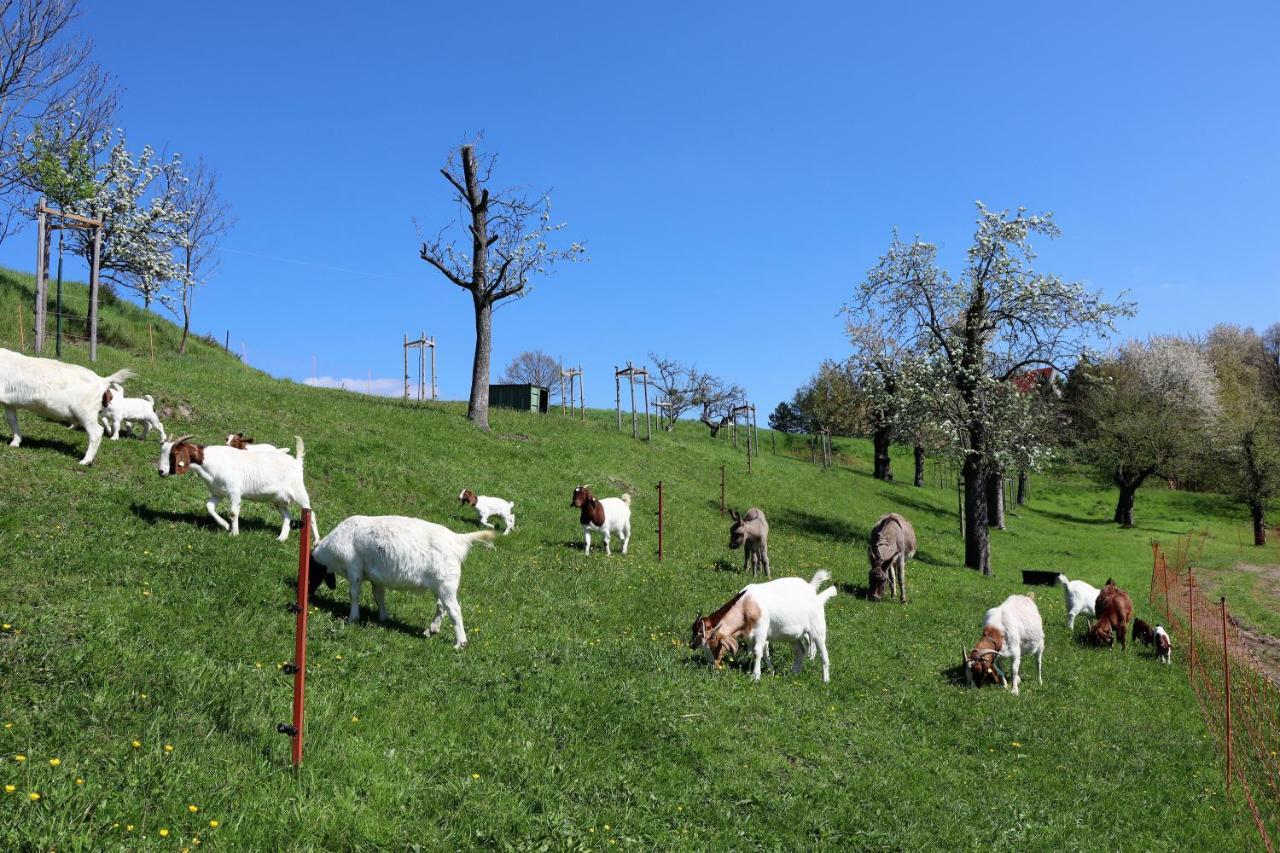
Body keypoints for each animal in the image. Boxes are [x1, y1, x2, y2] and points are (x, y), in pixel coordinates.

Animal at [0, 348, 132, 466]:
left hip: (85, 412)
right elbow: (12, 421)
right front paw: (15, 443)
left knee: (96, 432)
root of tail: (102, 380)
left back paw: (85, 461)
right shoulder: (9, 403)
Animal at [156, 432, 317, 537]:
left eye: (173, 454)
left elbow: (233, 513)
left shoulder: (234, 491)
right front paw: (225, 525)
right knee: (287, 516)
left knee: (311, 514)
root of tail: (296, 461)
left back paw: (316, 542)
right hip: (278, 500)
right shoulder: (218, 492)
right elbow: (209, 507)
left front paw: (234, 533)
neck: (212, 460)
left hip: (299, 493)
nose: (161, 471)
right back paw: (281, 538)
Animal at [304, 514, 494, 648]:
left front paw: (353, 618)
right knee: (442, 607)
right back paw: (430, 630)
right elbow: (378, 595)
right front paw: (383, 617)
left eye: (311, 570)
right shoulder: (375, 577)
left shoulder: (354, 568)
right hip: (439, 585)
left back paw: (460, 643)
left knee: (454, 610)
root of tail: (458, 539)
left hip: (445, 583)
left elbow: (354, 594)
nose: (307, 594)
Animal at [706, 568, 834, 681]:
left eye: (714, 646)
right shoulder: (751, 636)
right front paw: (770, 671)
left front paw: (755, 676)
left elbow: (757, 653)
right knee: (800, 651)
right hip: (793, 636)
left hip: (818, 630)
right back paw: (794, 673)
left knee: (823, 654)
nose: (713, 666)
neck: (746, 605)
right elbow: (763, 653)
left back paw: (825, 680)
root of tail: (811, 589)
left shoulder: (761, 632)